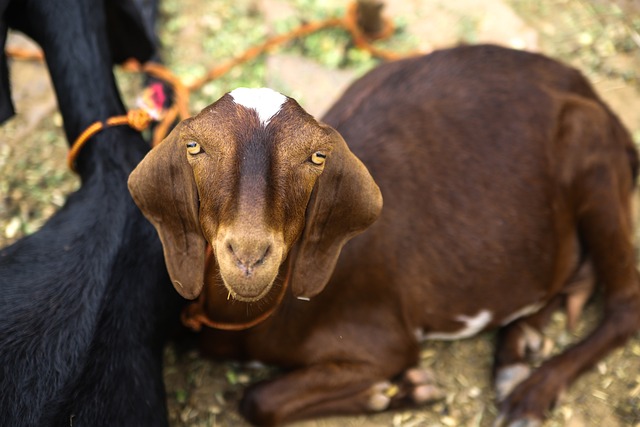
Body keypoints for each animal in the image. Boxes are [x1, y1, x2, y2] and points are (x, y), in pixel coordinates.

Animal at [129, 45, 640, 426]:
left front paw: (393, 391)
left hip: (591, 150)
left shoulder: (383, 340)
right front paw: (395, 394)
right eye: (194, 146)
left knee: (624, 304)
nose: (250, 255)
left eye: (316, 156)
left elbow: (258, 401)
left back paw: (532, 392)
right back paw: (521, 345)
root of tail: (585, 88)